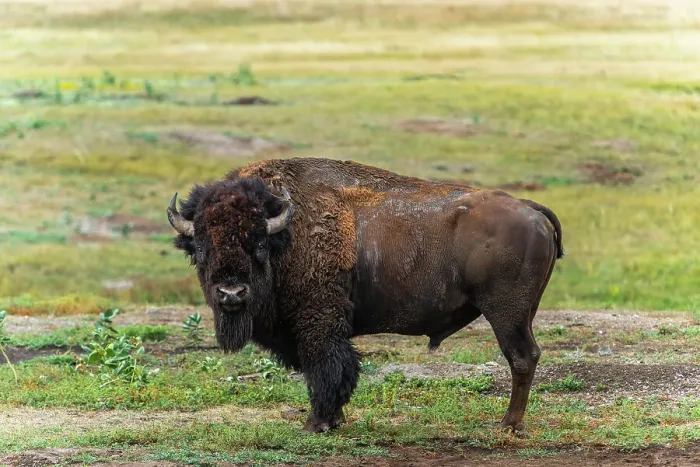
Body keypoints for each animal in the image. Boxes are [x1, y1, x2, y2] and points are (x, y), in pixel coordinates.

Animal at [167, 157, 563, 433]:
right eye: (200, 248)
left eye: (259, 245)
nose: (231, 293)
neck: (289, 233)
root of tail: (529, 207)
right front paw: (333, 419)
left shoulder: (319, 324)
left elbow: (326, 369)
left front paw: (317, 423)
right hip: (524, 312)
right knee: (527, 356)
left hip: (506, 314)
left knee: (522, 357)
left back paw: (508, 425)